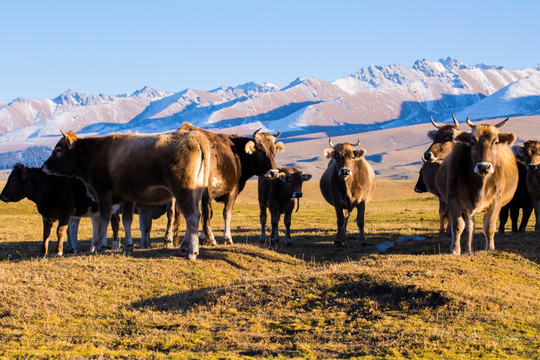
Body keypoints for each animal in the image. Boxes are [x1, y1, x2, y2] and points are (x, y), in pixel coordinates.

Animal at [42, 129, 210, 262]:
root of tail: (196, 138)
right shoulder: (127, 198)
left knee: (192, 216)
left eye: (58, 149)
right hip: (194, 193)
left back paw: (192, 252)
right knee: (193, 218)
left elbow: (104, 219)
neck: (95, 154)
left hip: (183, 191)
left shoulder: (103, 193)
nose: (44, 166)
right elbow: (127, 220)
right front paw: (128, 245)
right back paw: (183, 248)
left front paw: (101, 245)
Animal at [434, 118, 520, 253]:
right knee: (470, 227)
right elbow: (458, 226)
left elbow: (489, 226)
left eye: (496, 142)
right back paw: (469, 249)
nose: (483, 167)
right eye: (473, 142)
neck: (479, 184)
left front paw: (490, 249)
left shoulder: (496, 201)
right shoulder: (454, 199)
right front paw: (455, 250)